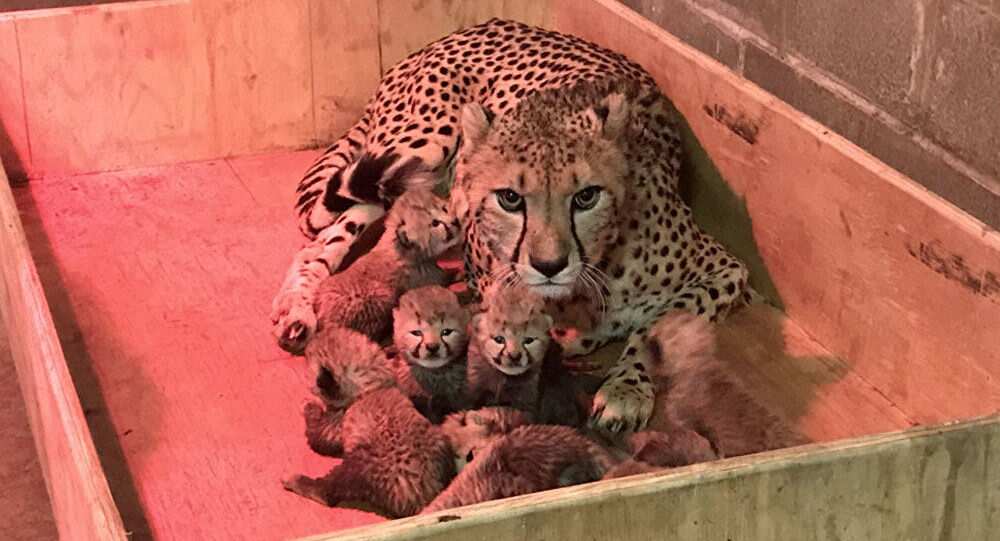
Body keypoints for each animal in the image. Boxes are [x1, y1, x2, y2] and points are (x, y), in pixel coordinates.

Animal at [270, 18, 748, 435]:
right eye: (510, 198)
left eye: (586, 196)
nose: (549, 264)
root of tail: (462, 32)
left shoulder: (725, 270)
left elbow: (655, 327)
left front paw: (624, 389)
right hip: (414, 150)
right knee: (320, 242)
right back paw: (296, 311)